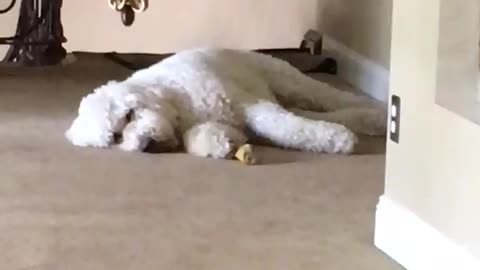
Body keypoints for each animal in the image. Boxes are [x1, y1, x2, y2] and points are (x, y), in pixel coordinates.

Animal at [64, 48, 386, 158]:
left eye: (130, 115)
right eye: (116, 137)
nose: (146, 145)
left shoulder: (249, 106)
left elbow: (286, 128)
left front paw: (339, 141)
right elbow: (203, 137)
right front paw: (221, 143)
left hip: (289, 82)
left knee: (331, 97)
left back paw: (379, 114)